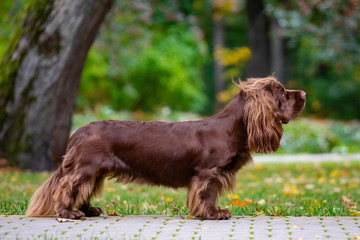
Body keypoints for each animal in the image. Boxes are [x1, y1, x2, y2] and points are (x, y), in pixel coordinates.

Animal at [26, 77, 306, 219]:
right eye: (282, 92)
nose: (303, 94)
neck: (232, 127)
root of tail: (78, 131)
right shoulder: (208, 173)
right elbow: (206, 194)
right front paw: (213, 213)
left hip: (95, 170)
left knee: (84, 190)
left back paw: (89, 210)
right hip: (85, 167)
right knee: (68, 187)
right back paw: (68, 213)